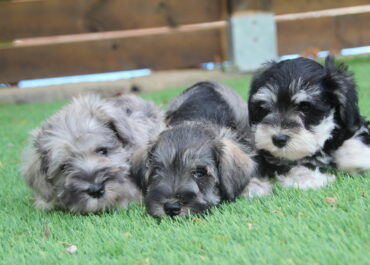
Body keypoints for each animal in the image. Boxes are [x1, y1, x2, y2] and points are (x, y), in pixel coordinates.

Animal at [249, 55, 370, 189]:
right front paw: (312, 178)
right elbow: (289, 165)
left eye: (305, 107)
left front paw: (357, 159)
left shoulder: (352, 124)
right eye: (266, 108)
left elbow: (356, 138)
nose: (278, 139)